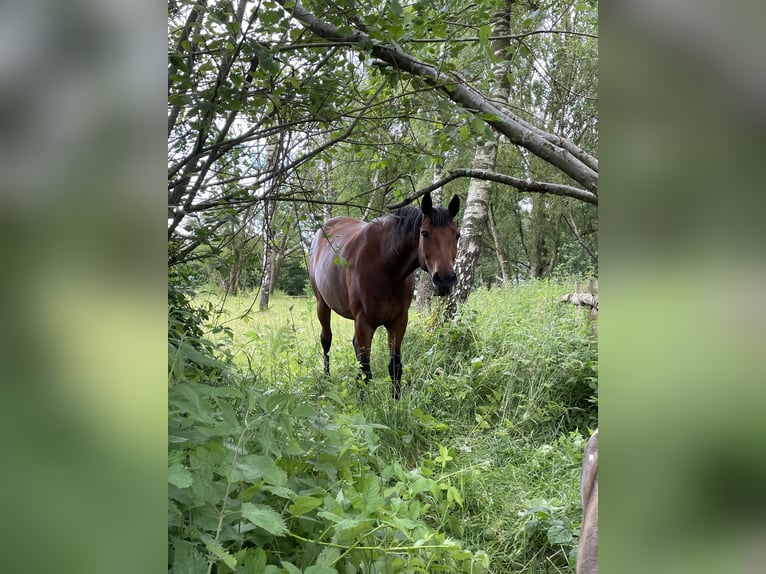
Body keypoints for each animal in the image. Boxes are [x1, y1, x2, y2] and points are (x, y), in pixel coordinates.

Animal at [308, 194, 462, 400]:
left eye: (457, 235)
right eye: (425, 233)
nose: (445, 280)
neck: (386, 268)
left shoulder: (398, 321)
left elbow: (394, 366)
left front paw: (396, 401)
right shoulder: (364, 322)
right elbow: (366, 370)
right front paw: (364, 402)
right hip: (322, 304)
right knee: (326, 340)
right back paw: (326, 378)